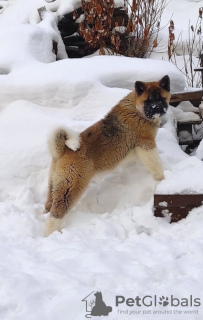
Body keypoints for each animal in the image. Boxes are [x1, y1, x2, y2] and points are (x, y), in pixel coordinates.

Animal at [44, 75, 171, 235]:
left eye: (161, 98)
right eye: (148, 100)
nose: (156, 108)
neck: (137, 109)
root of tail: (62, 151)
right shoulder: (146, 144)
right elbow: (155, 163)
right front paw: (163, 178)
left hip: (54, 184)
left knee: (48, 205)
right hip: (70, 187)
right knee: (55, 214)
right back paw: (51, 234)